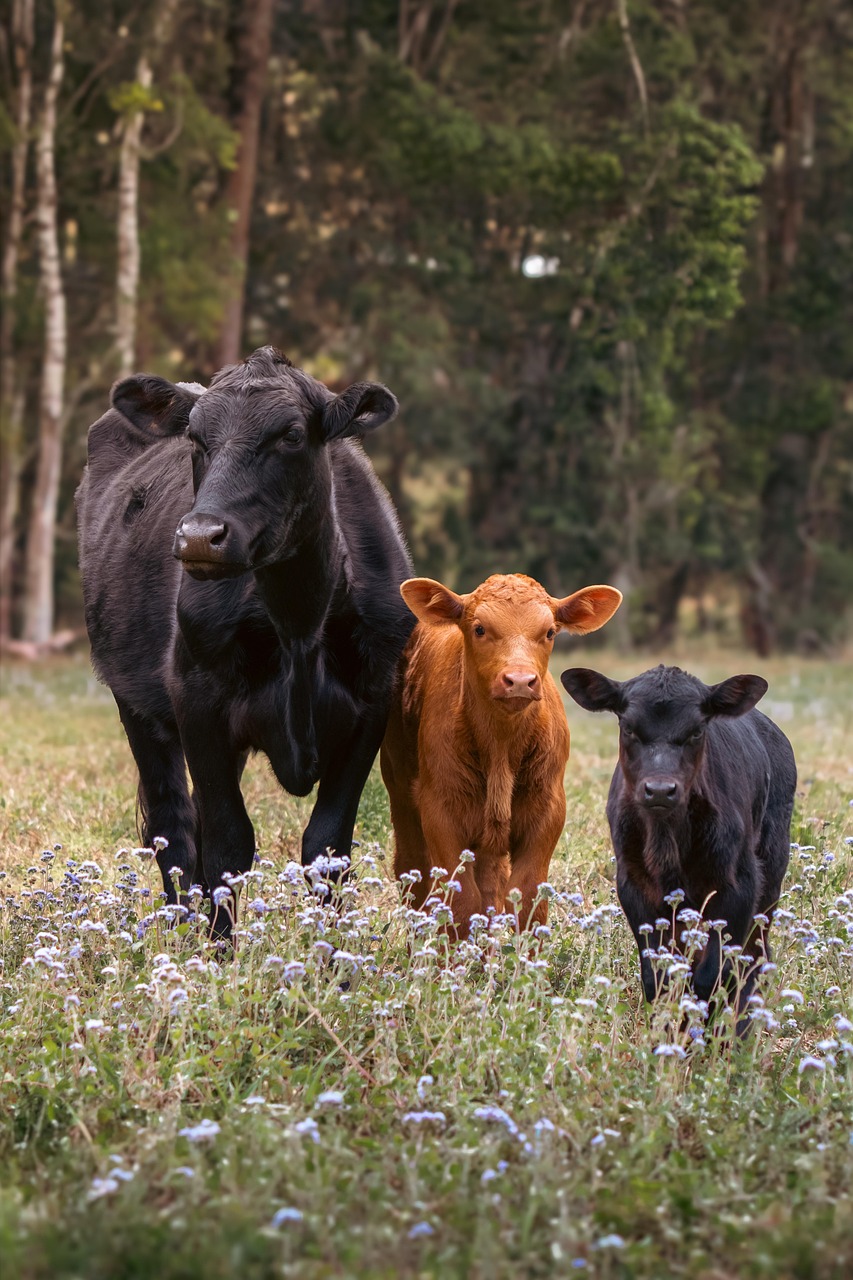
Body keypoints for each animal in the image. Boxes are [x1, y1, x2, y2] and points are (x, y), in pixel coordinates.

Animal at [76, 346, 414, 934]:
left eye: (292, 435)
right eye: (195, 437)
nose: (199, 537)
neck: (298, 622)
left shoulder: (374, 702)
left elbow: (328, 846)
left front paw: (333, 955)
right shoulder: (197, 699)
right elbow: (228, 842)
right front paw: (219, 947)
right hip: (135, 703)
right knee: (173, 822)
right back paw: (182, 927)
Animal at [380, 574, 622, 935]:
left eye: (549, 632)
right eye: (479, 629)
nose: (520, 681)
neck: (500, 748)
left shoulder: (548, 810)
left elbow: (527, 900)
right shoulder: (440, 810)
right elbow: (460, 904)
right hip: (400, 791)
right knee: (414, 876)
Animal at [560, 664, 796, 1029]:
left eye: (697, 730)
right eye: (628, 727)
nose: (659, 789)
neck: (667, 839)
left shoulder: (740, 884)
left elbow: (716, 973)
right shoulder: (633, 883)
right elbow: (658, 976)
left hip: (771, 872)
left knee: (755, 956)